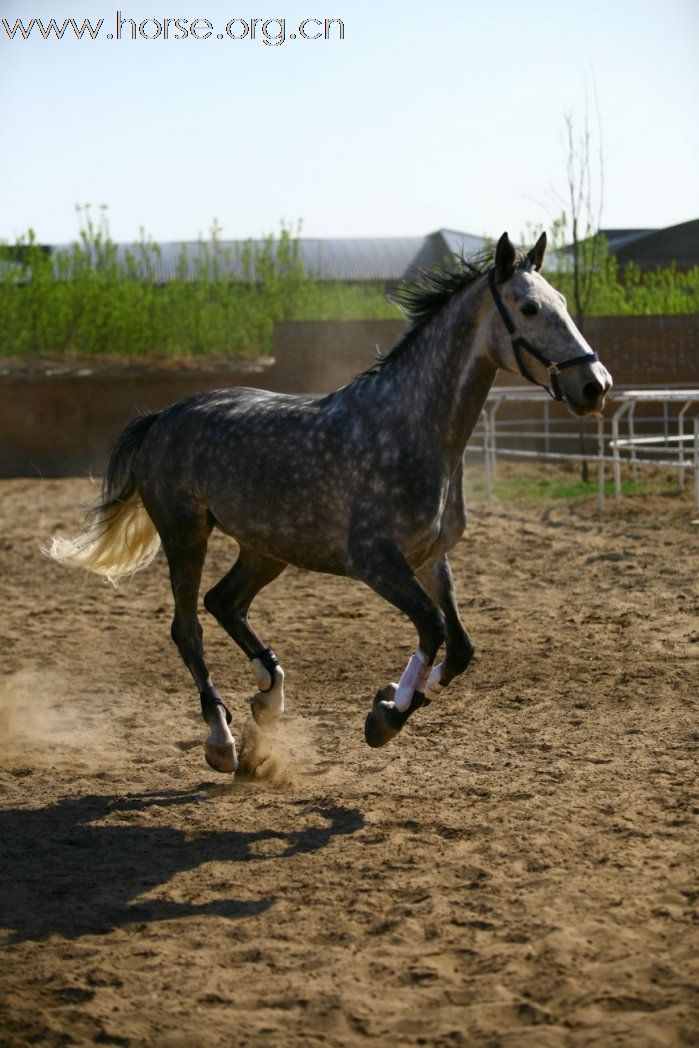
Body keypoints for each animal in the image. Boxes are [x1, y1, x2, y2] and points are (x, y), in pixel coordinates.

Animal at [46, 233, 612, 775]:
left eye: (562, 301)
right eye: (529, 308)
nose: (595, 385)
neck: (411, 428)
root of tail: (161, 417)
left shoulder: (429, 558)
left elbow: (459, 648)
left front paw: (389, 700)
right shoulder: (376, 561)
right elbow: (432, 628)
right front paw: (383, 717)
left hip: (266, 548)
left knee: (224, 602)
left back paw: (269, 697)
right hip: (186, 534)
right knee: (188, 628)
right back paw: (222, 739)